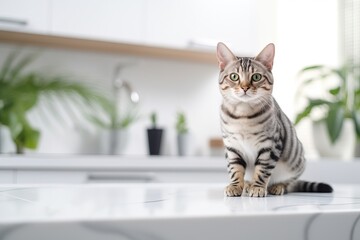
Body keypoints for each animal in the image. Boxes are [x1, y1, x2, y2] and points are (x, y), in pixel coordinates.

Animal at [215, 42, 334, 197]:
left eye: (256, 77)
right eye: (234, 76)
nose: (245, 87)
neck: (243, 115)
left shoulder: (270, 145)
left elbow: (262, 171)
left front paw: (258, 187)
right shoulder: (232, 147)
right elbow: (235, 170)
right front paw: (236, 186)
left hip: (297, 163)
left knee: (289, 183)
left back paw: (277, 186)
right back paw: (247, 184)